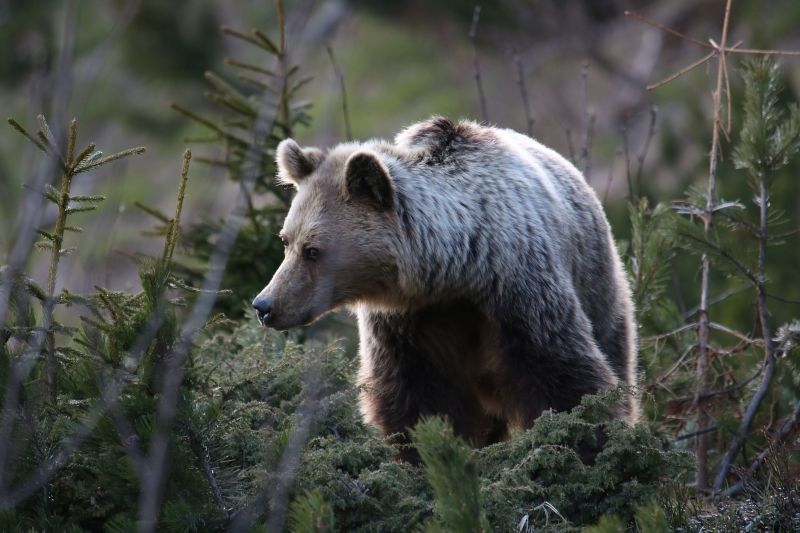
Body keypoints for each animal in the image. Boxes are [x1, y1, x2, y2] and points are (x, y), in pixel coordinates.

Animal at [253, 116, 640, 458]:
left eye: (313, 251)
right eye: (286, 240)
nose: (265, 305)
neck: (456, 270)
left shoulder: (518, 288)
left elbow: (564, 376)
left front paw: (590, 444)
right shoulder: (410, 322)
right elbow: (415, 399)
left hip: (598, 282)